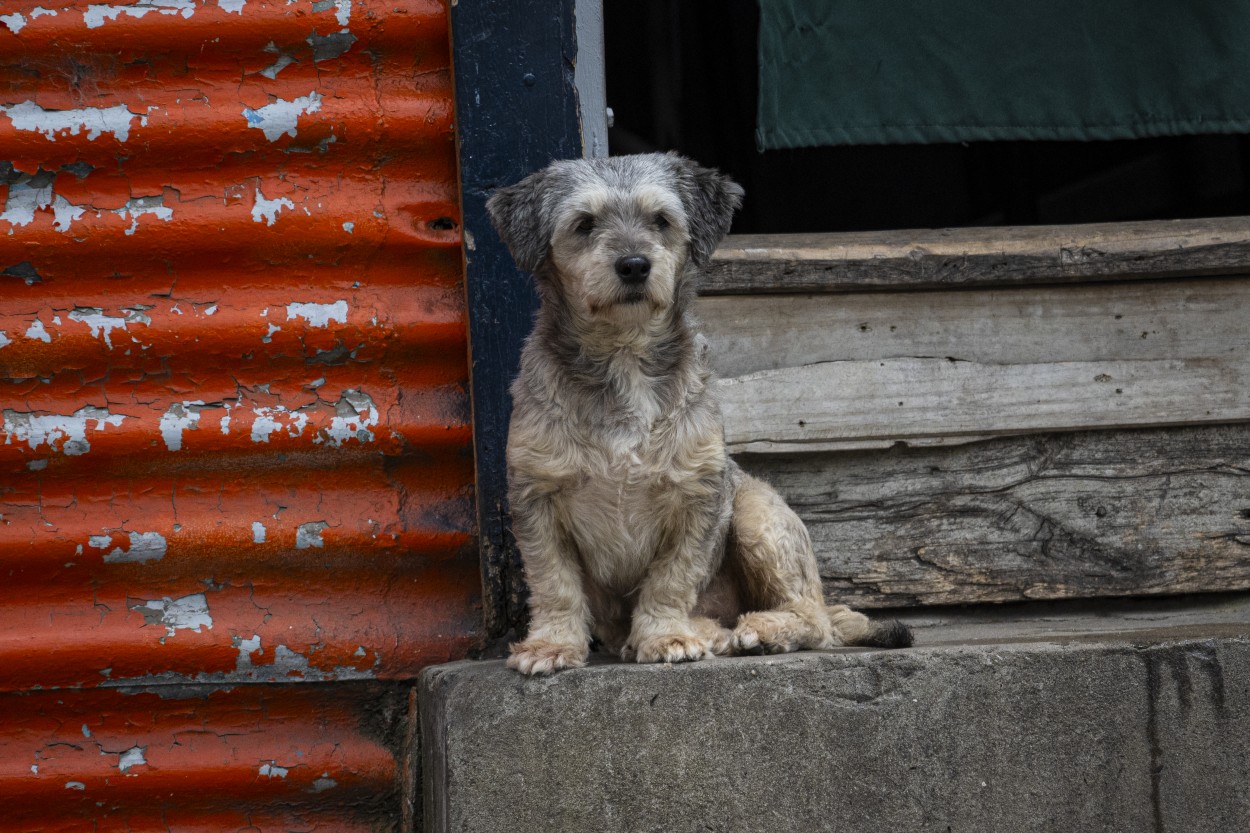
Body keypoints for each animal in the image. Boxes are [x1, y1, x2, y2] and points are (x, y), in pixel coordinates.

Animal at [485, 152, 910, 675]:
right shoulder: (536, 496)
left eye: (661, 221)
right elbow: (554, 583)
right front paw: (552, 645)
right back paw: (710, 632)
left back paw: (755, 631)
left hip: (756, 514)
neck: (624, 356)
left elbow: (671, 578)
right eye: (584, 224)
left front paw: (666, 635)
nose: (634, 265)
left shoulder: (697, 495)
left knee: (815, 619)